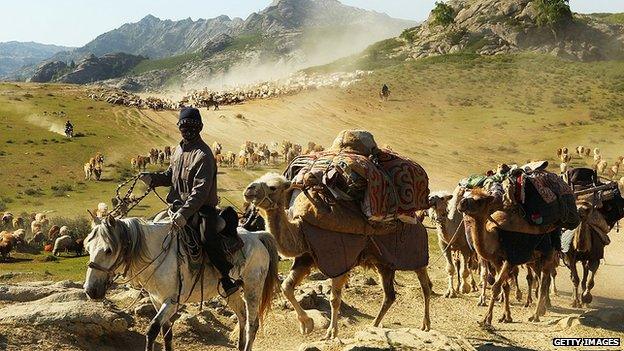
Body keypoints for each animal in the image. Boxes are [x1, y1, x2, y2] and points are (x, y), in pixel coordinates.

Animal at [84, 216, 280, 351]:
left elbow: (152, 330)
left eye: (109, 250)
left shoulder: (172, 301)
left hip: (253, 289)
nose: (90, 290)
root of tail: (257, 236)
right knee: (242, 316)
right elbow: (166, 334)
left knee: (252, 324)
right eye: (87, 247)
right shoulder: (156, 300)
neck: (157, 254)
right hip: (230, 291)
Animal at [246, 175, 432, 340]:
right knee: (390, 295)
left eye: (273, 187)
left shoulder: (339, 262)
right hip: (384, 264)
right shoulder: (306, 258)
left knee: (425, 285)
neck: (301, 232)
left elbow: (334, 299)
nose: (249, 190)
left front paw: (331, 333)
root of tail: (420, 223)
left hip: (416, 257)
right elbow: (286, 287)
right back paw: (374, 324)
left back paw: (426, 324)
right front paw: (307, 324)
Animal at [456, 190, 560, 328]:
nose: (461, 203)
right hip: (534, 260)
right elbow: (505, 286)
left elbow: (496, 287)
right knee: (540, 279)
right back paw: (542, 310)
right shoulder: (497, 260)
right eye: (467, 195)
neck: (497, 236)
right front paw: (506, 317)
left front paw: (486, 320)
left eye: (480, 200)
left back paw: (535, 315)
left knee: (544, 282)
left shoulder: (511, 259)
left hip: (548, 254)